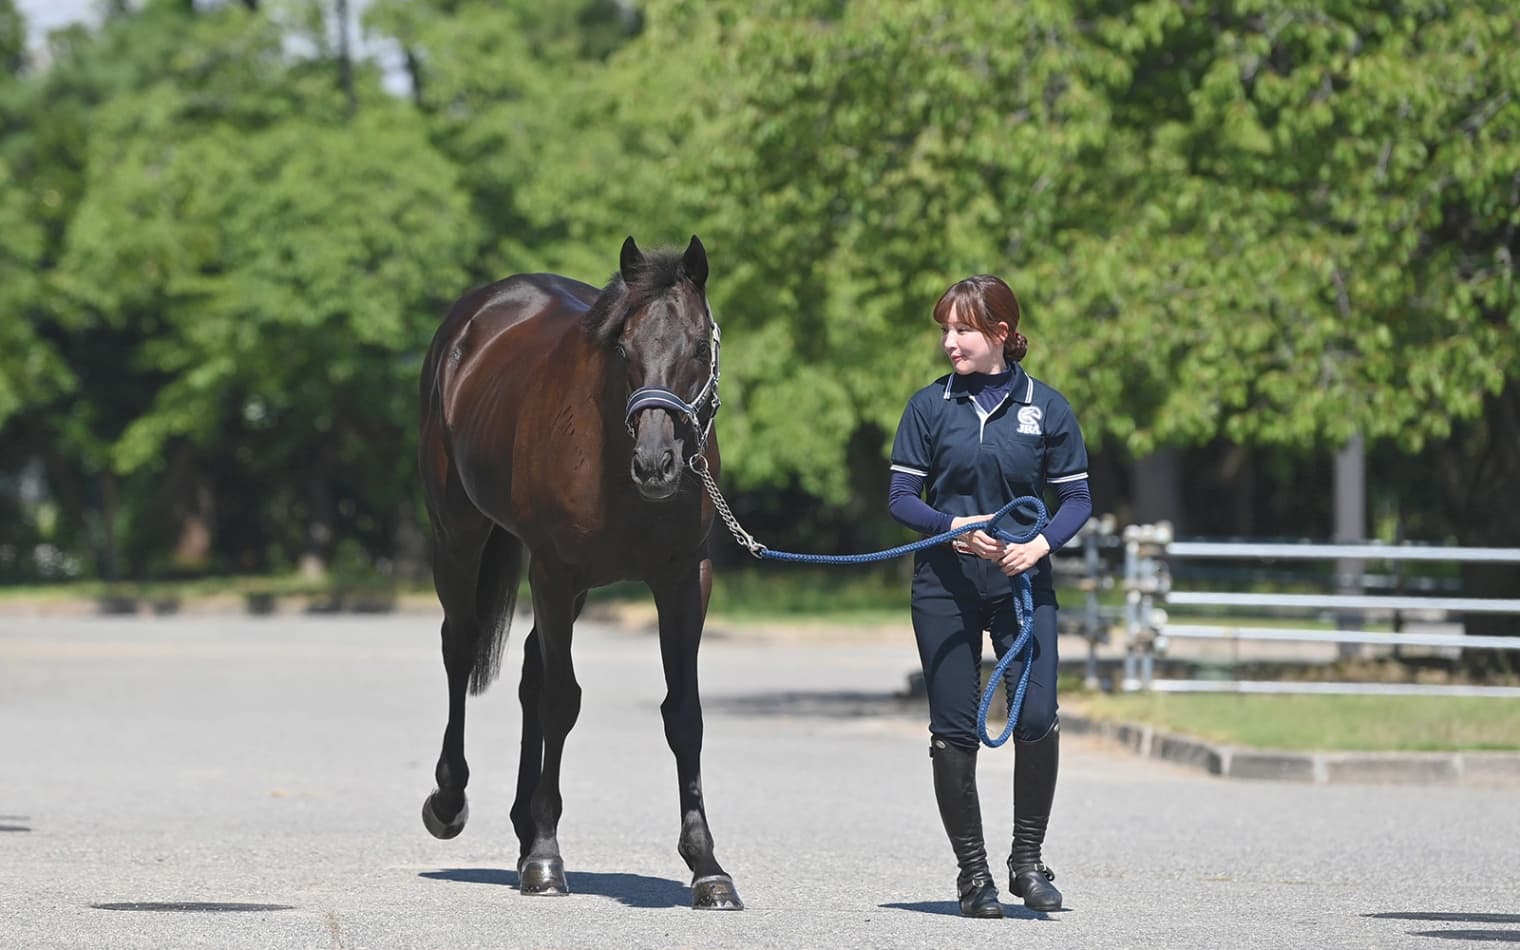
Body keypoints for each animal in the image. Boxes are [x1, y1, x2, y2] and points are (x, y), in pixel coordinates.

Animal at [415, 235, 741, 911]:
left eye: (700, 346)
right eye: (623, 348)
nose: (657, 463)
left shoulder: (683, 579)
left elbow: (684, 713)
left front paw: (707, 864)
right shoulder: (554, 570)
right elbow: (563, 702)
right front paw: (546, 858)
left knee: (530, 672)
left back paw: (522, 825)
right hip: (460, 536)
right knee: (460, 646)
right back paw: (452, 802)